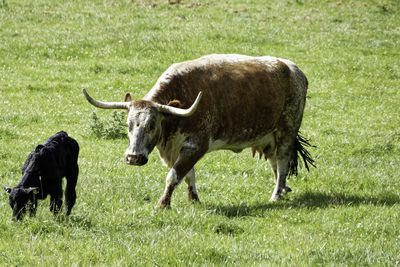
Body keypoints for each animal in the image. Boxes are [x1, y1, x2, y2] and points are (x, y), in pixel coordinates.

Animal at [83, 54, 314, 209]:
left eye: (151, 125)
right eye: (128, 125)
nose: (133, 157)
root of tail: (294, 70)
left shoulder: (195, 146)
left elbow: (173, 176)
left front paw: (163, 204)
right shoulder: (176, 149)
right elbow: (187, 175)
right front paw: (193, 199)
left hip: (286, 133)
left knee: (282, 164)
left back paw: (275, 195)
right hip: (268, 139)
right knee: (275, 165)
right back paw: (282, 190)